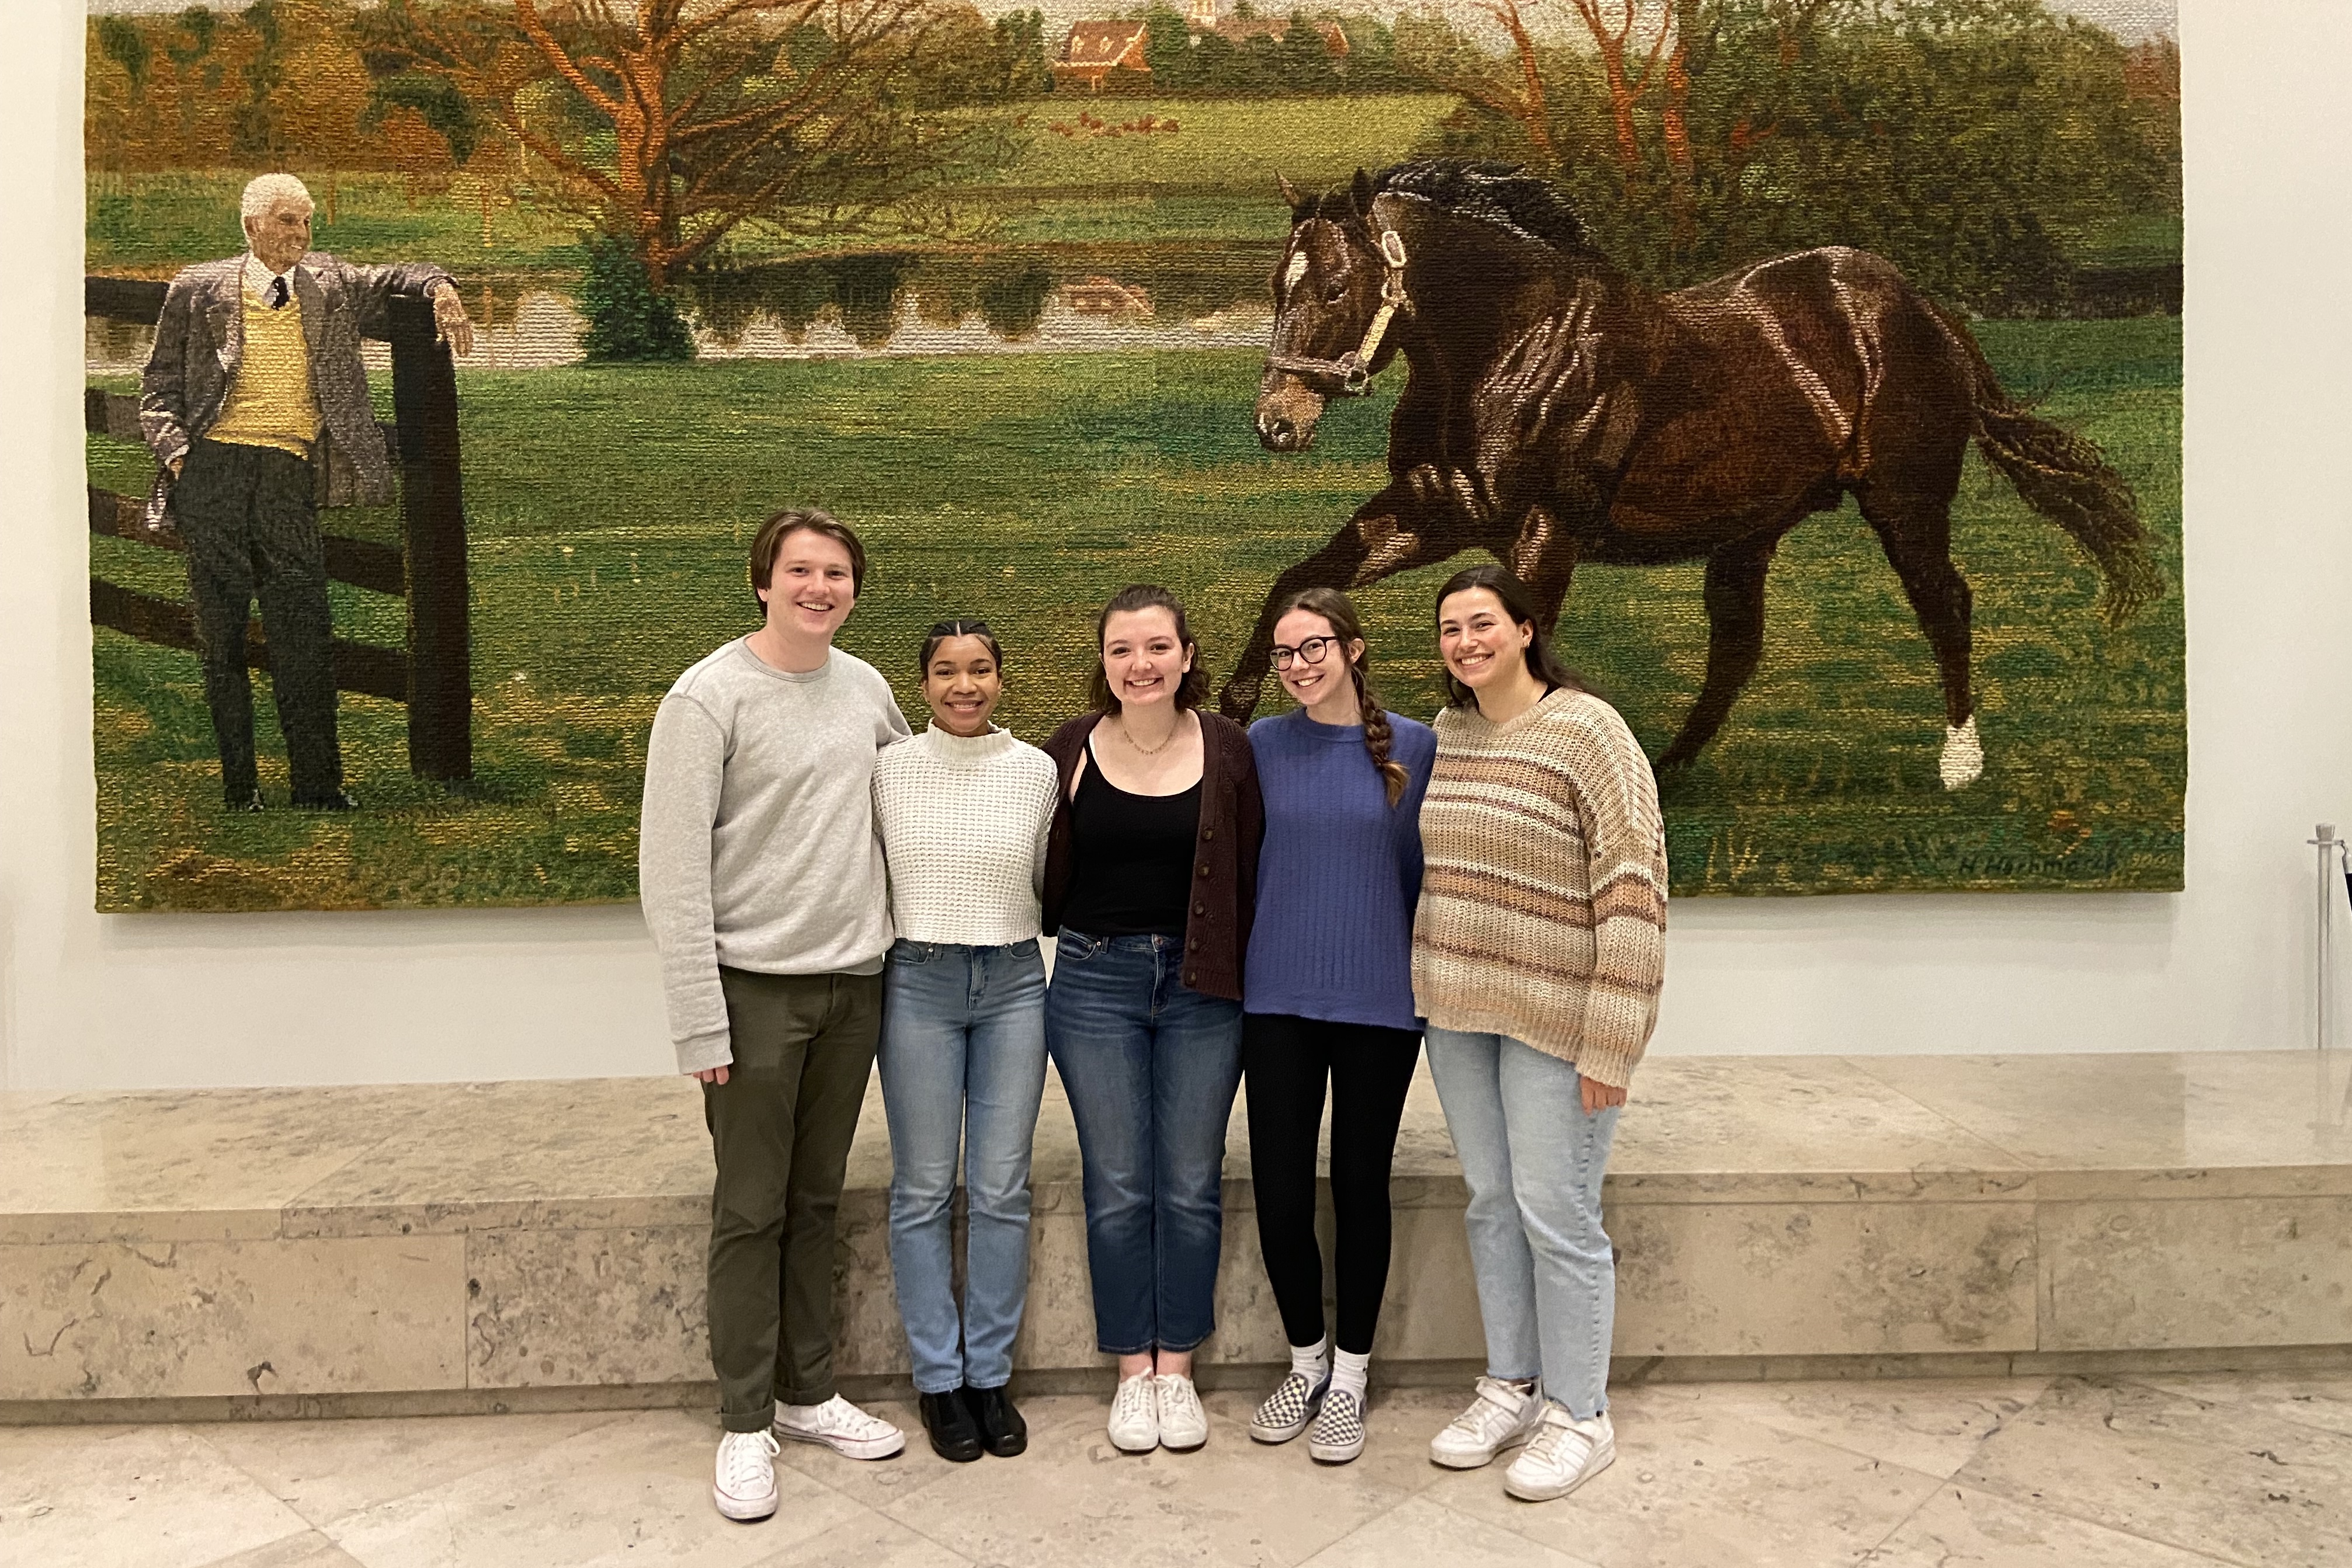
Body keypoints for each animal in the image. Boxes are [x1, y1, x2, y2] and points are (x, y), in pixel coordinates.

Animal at [1242, 165, 2154, 790]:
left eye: (1336, 285)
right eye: (1276, 284)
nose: (1277, 422)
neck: (1510, 344)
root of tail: (1919, 309)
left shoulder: (1543, 531)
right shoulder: (1437, 509)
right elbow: (1297, 582)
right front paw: (1233, 707)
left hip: (1904, 502)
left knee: (1946, 604)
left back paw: (1959, 763)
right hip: (1752, 529)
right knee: (1737, 646)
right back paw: (1668, 769)